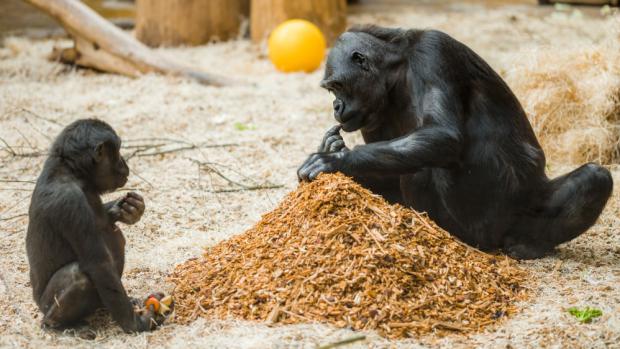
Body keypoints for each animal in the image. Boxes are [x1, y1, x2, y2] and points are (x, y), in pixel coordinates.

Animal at [26, 118, 163, 330]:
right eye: (118, 151)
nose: (124, 163)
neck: (74, 173)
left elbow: (105, 220)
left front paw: (130, 210)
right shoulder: (69, 202)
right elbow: (99, 264)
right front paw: (137, 323)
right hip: (46, 305)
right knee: (79, 276)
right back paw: (59, 325)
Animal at [298, 25, 612, 258]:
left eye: (336, 86)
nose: (336, 106)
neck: (397, 73)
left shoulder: (433, 53)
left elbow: (443, 134)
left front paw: (332, 159)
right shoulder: (373, 117)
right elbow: (387, 179)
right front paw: (333, 149)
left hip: (503, 216)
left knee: (595, 177)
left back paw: (521, 245)